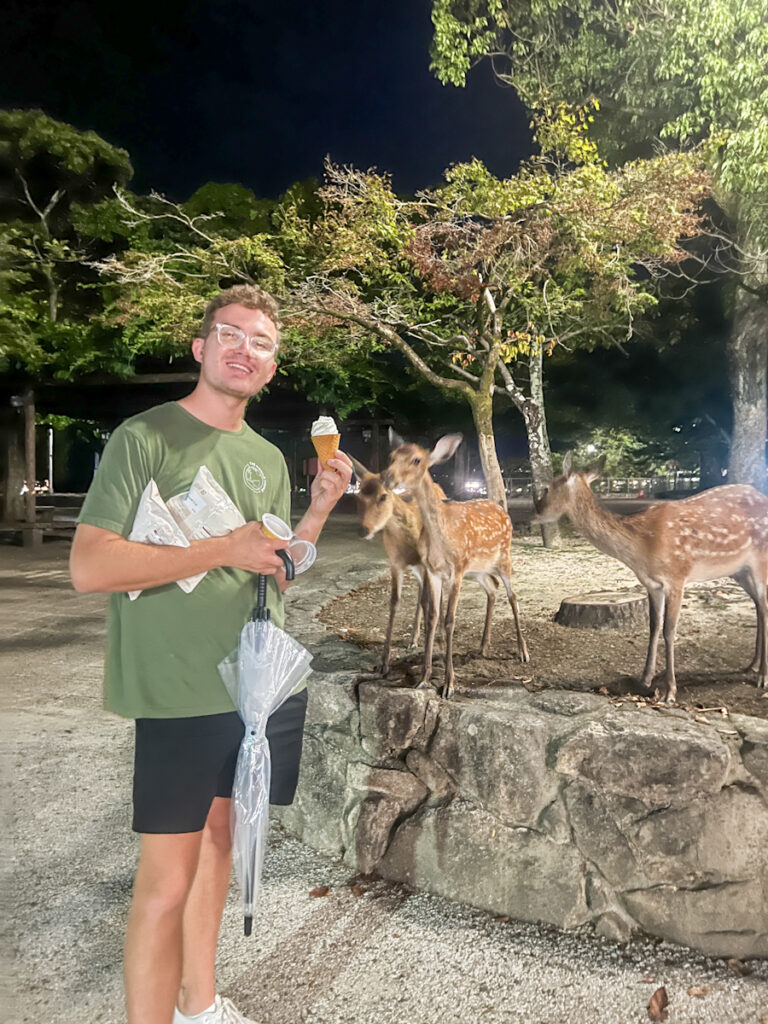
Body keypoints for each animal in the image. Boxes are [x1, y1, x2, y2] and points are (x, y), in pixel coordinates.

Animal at [382, 432, 528, 696]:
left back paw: (523, 652)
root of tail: (502, 509)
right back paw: (483, 646)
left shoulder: (457, 570)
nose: (388, 477)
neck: (441, 537)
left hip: (504, 557)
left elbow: (449, 620)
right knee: (492, 588)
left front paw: (449, 684)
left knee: (513, 596)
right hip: (478, 570)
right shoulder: (433, 571)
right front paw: (424, 677)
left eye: (417, 460)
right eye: (392, 456)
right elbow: (432, 616)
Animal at [532, 452, 768, 700]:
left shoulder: (677, 577)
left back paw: (762, 676)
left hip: (760, 559)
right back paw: (751, 665)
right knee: (758, 606)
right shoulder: (652, 584)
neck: (641, 547)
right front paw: (645, 678)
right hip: (739, 571)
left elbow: (669, 630)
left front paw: (670, 690)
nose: (534, 514)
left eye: (546, 488)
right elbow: (654, 626)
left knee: (764, 607)